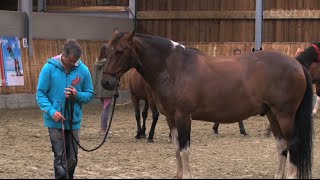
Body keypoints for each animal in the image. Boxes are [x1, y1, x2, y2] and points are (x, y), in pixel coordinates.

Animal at [102, 31, 312, 179]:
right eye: (107, 50)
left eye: (120, 51)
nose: (106, 82)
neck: (174, 68)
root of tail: (297, 64)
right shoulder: (171, 118)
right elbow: (176, 147)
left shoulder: (183, 116)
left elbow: (185, 149)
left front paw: (186, 175)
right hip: (272, 114)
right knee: (281, 145)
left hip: (285, 115)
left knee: (293, 145)